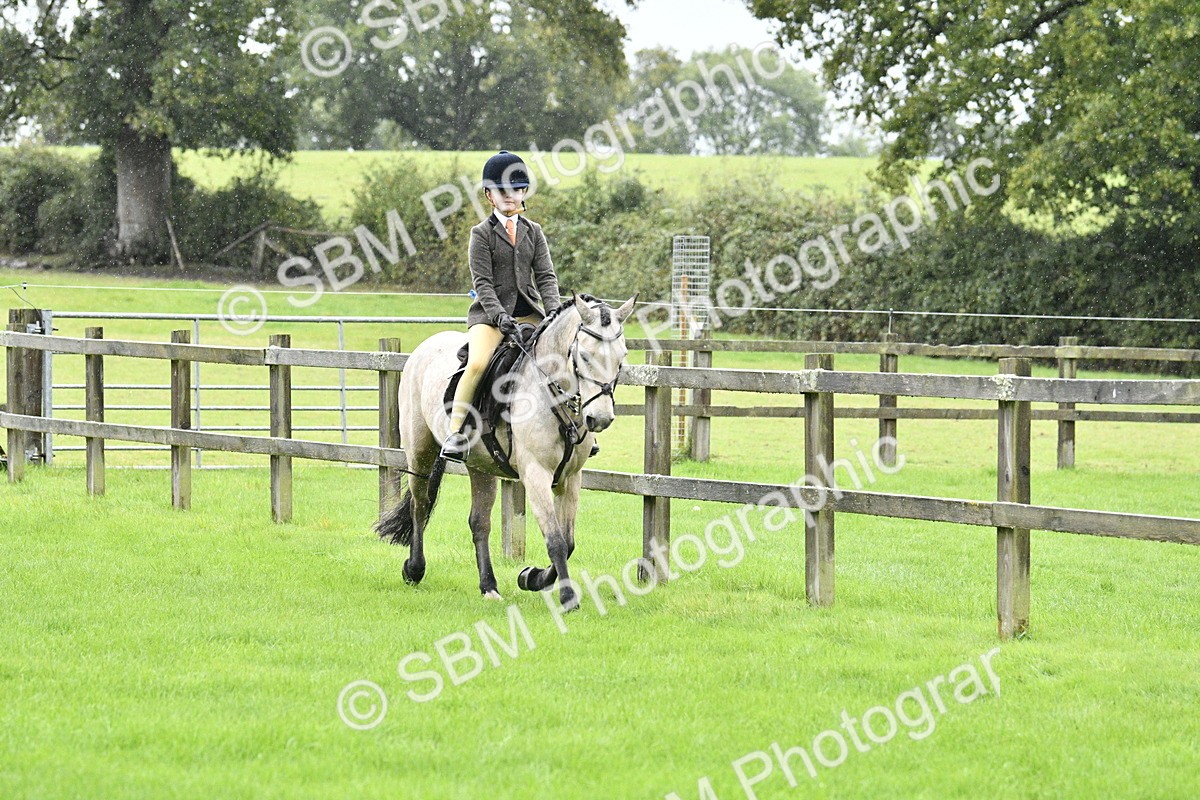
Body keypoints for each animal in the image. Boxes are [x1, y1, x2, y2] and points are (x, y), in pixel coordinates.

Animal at [375, 293, 638, 612]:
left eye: (622, 358)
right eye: (585, 356)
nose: (599, 419)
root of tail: (426, 346)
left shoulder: (570, 478)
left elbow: (569, 541)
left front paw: (531, 577)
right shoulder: (536, 474)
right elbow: (556, 540)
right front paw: (566, 597)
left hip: (480, 466)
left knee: (479, 523)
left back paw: (489, 586)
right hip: (420, 451)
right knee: (420, 505)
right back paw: (414, 569)